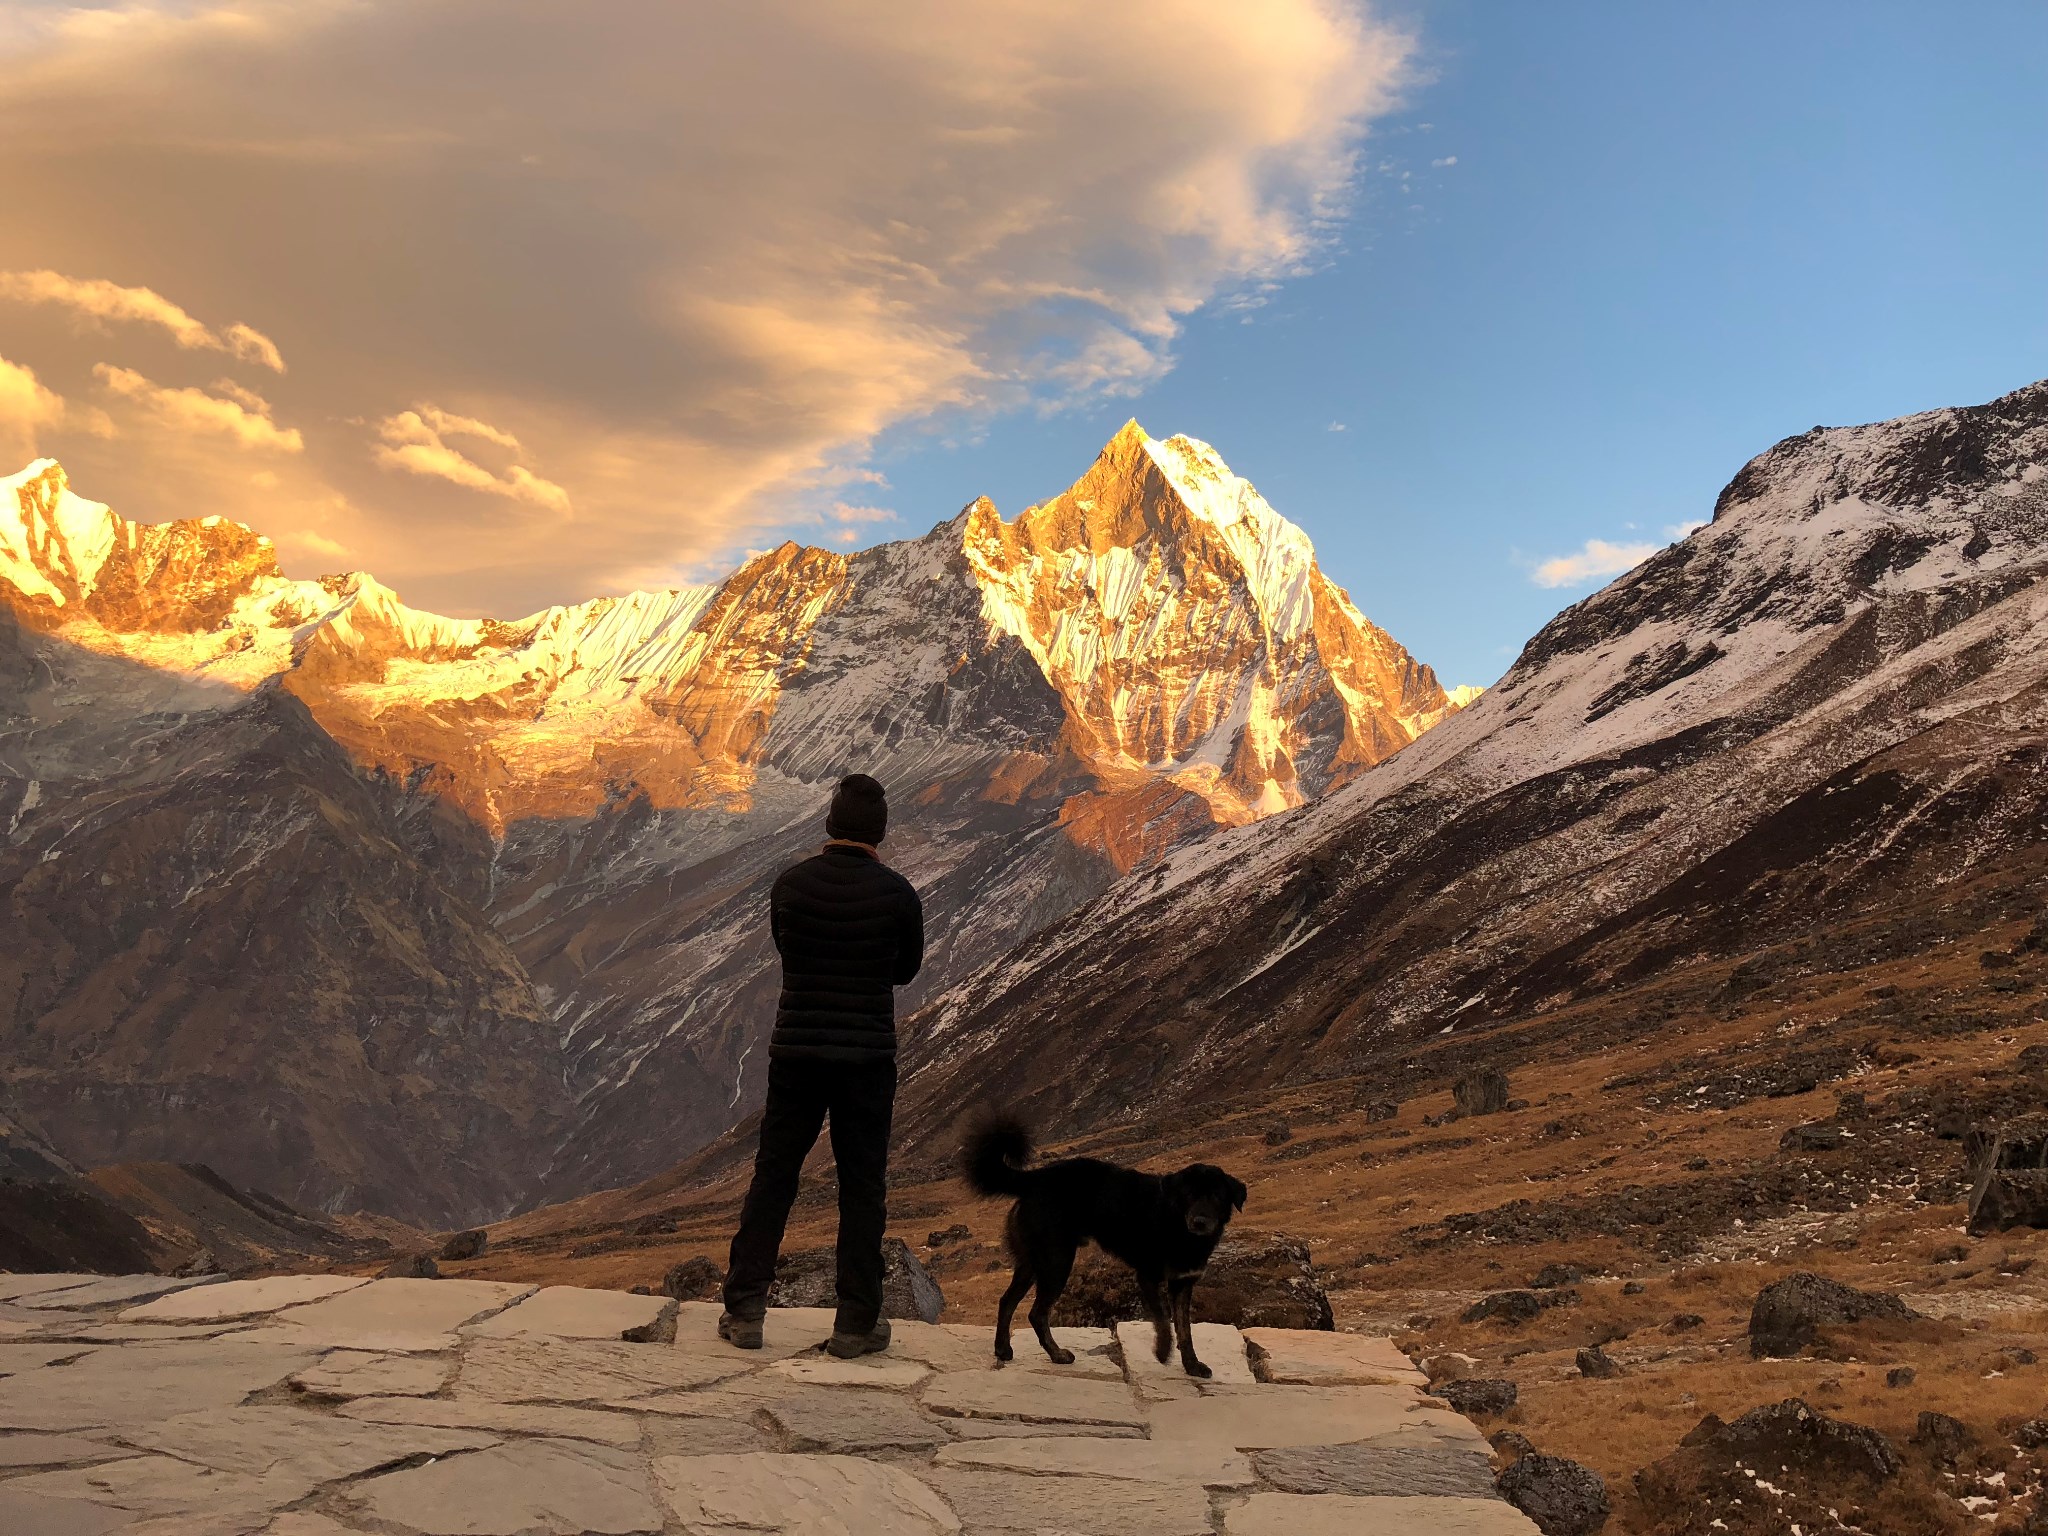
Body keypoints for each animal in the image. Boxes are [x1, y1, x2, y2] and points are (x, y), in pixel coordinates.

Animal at [958, 1114, 1245, 1376]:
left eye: (1216, 1196)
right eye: (1189, 1195)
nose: (1199, 1222)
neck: (1179, 1228)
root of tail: (1035, 1177)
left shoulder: (1183, 1283)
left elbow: (1185, 1330)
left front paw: (1192, 1365)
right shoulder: (1148, 1276)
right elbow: (1164, 1319)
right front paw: (1163, 1351)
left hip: (1032, 1261)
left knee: (1007, 1301)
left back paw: (1003, 1349)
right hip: (1057, 1261)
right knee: (1036, 1313)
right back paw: (1057, 1354)